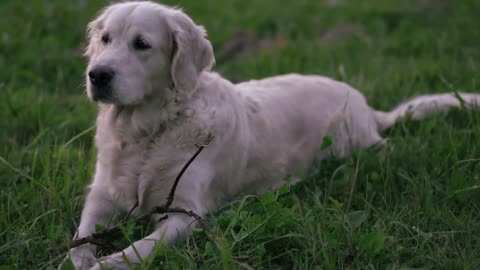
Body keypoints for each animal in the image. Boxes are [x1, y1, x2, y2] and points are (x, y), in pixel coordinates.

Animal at [66, 1, 480, 268]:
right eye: (105, 39)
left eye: (142, 44)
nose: (97, 75)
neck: (147, 130)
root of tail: (364, 103)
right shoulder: (102, 194)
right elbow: (78, 239)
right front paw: (84, 257)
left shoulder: (186, 213)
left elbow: (142, 247)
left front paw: (110, 261)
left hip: (353, 144)